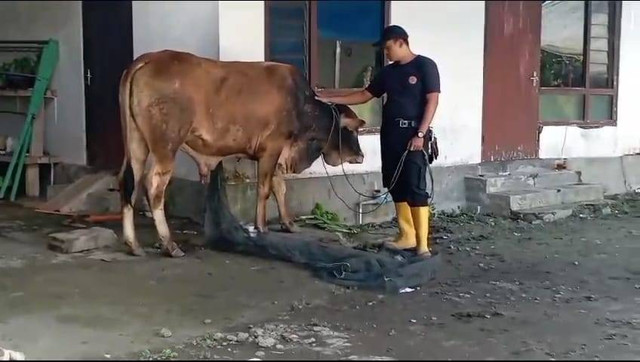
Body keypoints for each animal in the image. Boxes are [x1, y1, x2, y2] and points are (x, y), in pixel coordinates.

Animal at [115, 50, 364, 258]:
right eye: (352, 130)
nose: (361, 156)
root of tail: (147, 59)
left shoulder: (276, 153)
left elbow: (280, 187)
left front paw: (289, 224)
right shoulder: (272, 148)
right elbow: (265, 189)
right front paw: (261, 227)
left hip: (136, 144)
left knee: (129, 182)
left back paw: (134, 245)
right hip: (166, 147)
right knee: (154, 186)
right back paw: (169, 245)